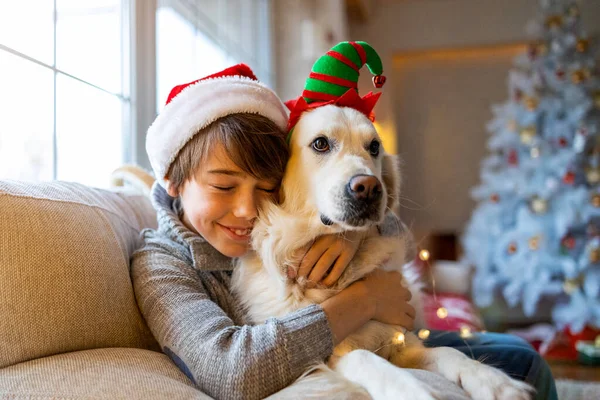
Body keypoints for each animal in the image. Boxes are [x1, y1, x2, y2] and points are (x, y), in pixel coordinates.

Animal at [231, 105, 536, 400]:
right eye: (320, 143)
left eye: (374, 147)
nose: (368, 188)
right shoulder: (330, 356)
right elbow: (367, 359)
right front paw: (416, 391)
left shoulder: (403, 343)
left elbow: (451, 353)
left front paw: (496, 383)